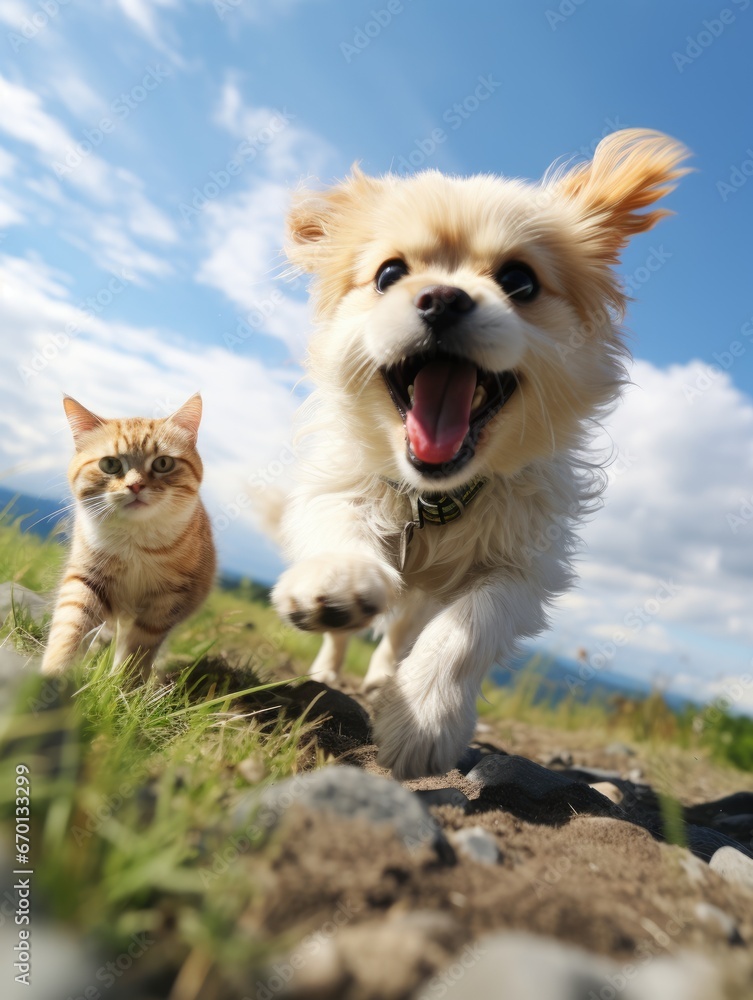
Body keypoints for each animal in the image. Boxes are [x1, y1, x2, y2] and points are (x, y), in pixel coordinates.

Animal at [41, 390, 216, 680]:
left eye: (163, 463)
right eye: (110, 464)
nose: (135, 485)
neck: (134, 541)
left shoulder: (167, 598)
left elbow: (138, 647)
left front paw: (123, 684)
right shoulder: (87, 577)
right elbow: (70, 626)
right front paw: (53, 674)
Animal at [270, 127, 688, 780]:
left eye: (519, 282)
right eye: (389, 274)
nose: (442, 297)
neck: (435, 498)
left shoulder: (525, 569)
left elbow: (471, 623)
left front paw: (423, 713)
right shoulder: (337, 489)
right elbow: (342, 531)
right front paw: (338, 580)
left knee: (402, 631)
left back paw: (386, 680)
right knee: (353, 633)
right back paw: (329, 668)